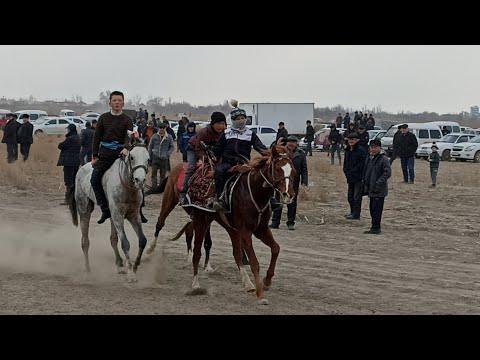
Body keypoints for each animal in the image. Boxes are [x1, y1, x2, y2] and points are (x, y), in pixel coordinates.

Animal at [67, 135, 149, 282]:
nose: (140, 180)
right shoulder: (118, 215)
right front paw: (131, 273)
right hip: (84, 210)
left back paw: (119, 264)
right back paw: (88, 269)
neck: (127, 188)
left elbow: (142, 240)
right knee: (85, 241)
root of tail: (81, 170)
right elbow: (125, 243)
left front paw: (134, 266)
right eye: (132, 157)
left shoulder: (134, 215)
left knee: (113, 239)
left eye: (148, 159)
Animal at [171, 143, 294, 304]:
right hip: (200, 220)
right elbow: (254, 262)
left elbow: (276, 249)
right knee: (196, 252)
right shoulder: (246, 231)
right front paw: (261, 295)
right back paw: (195, 285)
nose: (288, 195)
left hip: (229, 227)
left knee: (236, 253)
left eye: (293, 170)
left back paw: (248, 284)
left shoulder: (261, 229)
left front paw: (266, 281)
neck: (254, 192)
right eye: (278, 169)